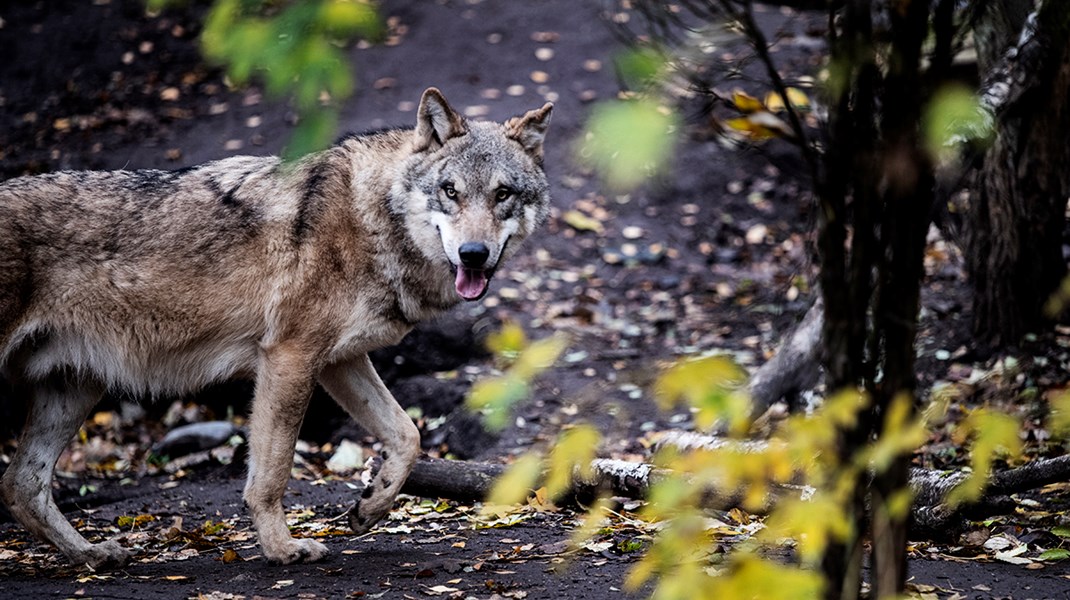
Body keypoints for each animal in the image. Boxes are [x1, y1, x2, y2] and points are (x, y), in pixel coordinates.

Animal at [0, 87, 552, 564]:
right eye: (450, 191)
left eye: (502, 194)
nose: (473, 254)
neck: (371, 220)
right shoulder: (289, 356)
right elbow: (271, 474)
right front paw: (282, 549)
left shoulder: (339, 361)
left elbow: (408, 436)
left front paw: (370, 507)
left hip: (75, 389)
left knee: (21, 484)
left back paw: (93, 556)